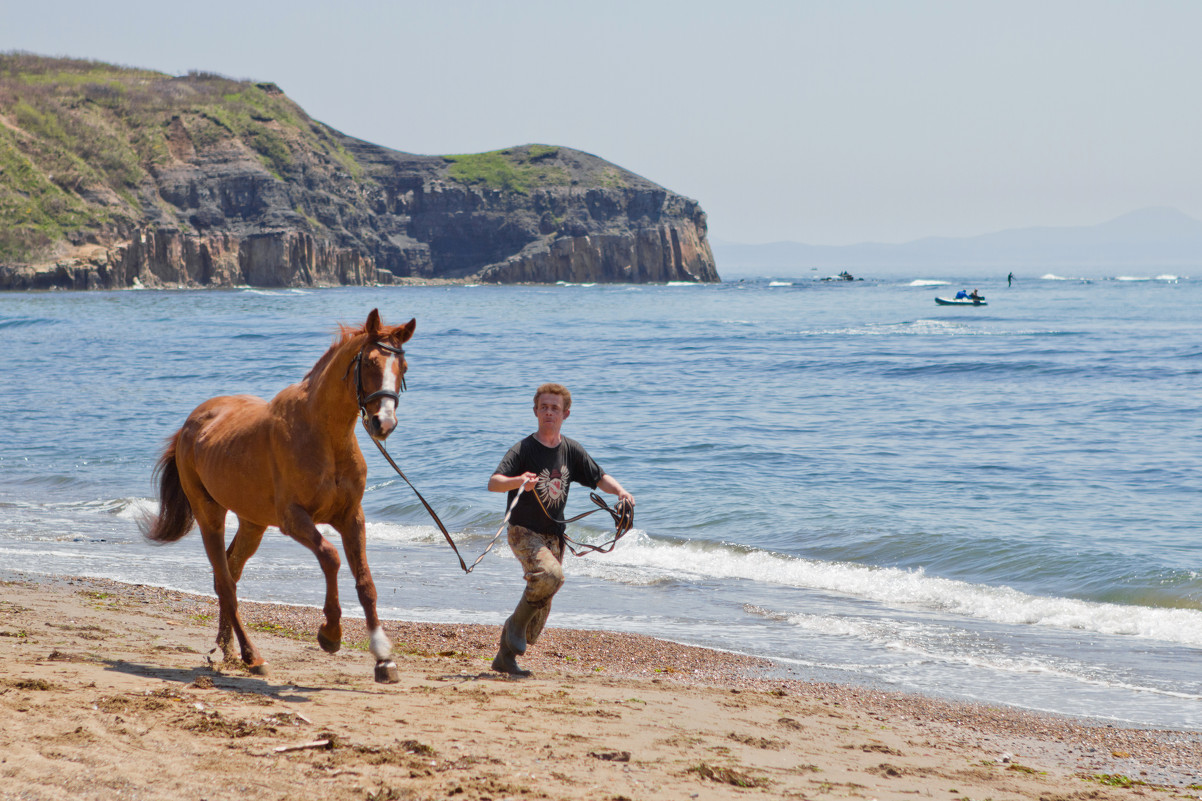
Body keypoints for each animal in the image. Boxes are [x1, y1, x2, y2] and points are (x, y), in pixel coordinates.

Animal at [142, 305, 418, 678]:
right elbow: (330, 558)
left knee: (229, 573)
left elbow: (365, 583)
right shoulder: (294, 519)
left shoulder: (351, 517)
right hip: (209, 514)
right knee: (225, 581)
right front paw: (330, 634)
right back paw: (251, 655)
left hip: (252, 523)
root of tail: (191, 423)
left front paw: (383, 657)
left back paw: (228, 649)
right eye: (371, 363)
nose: (383, 423)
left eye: (403, 367)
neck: (324, 436)